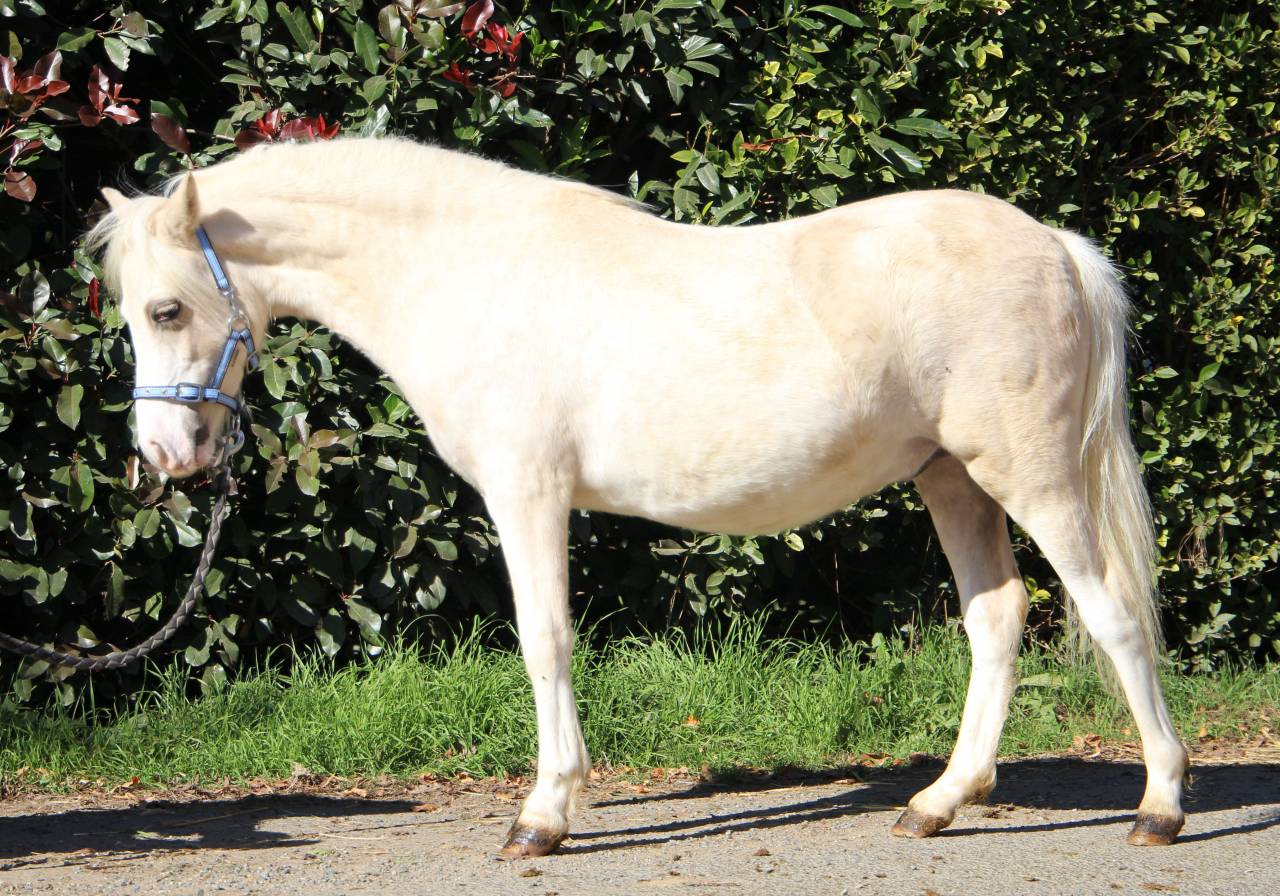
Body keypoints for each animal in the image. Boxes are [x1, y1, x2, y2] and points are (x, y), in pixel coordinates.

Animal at [88, 136, 1188, 857]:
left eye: (167, 308)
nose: (165, 452)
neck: (467, 273)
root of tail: (1052, 244)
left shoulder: (528, 493)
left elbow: (544, 641)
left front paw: (542, 816)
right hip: (950, 477)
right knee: (995, 617)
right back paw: (937, 802)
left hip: (1029, 476)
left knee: (1111, 613)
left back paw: (1159, 805)